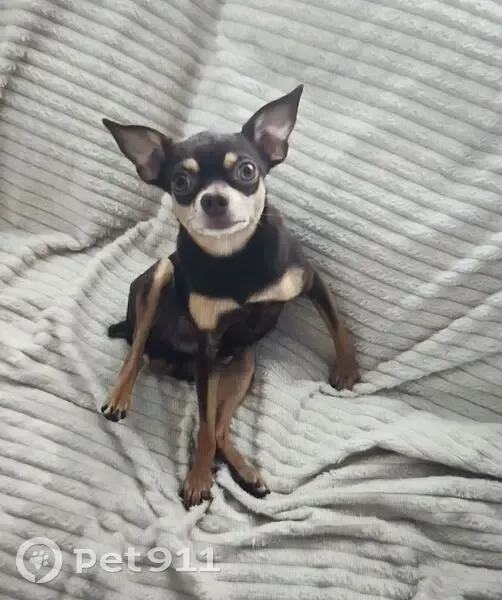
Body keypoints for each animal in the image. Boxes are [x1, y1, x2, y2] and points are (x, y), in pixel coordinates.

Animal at [101, 85, 360, 508]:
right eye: (180, 182)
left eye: (247, 171)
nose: (213, 199)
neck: (233, 255)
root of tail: (170, 362)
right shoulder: (207, 347)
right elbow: (203, 427)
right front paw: (198, 480)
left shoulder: (310, 282)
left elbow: (338, 326)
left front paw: (348, 369)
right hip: (161, 275)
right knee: (136, 350)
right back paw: (120, 396)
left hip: (242, 365)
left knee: (221, 428)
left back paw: (247, 473)